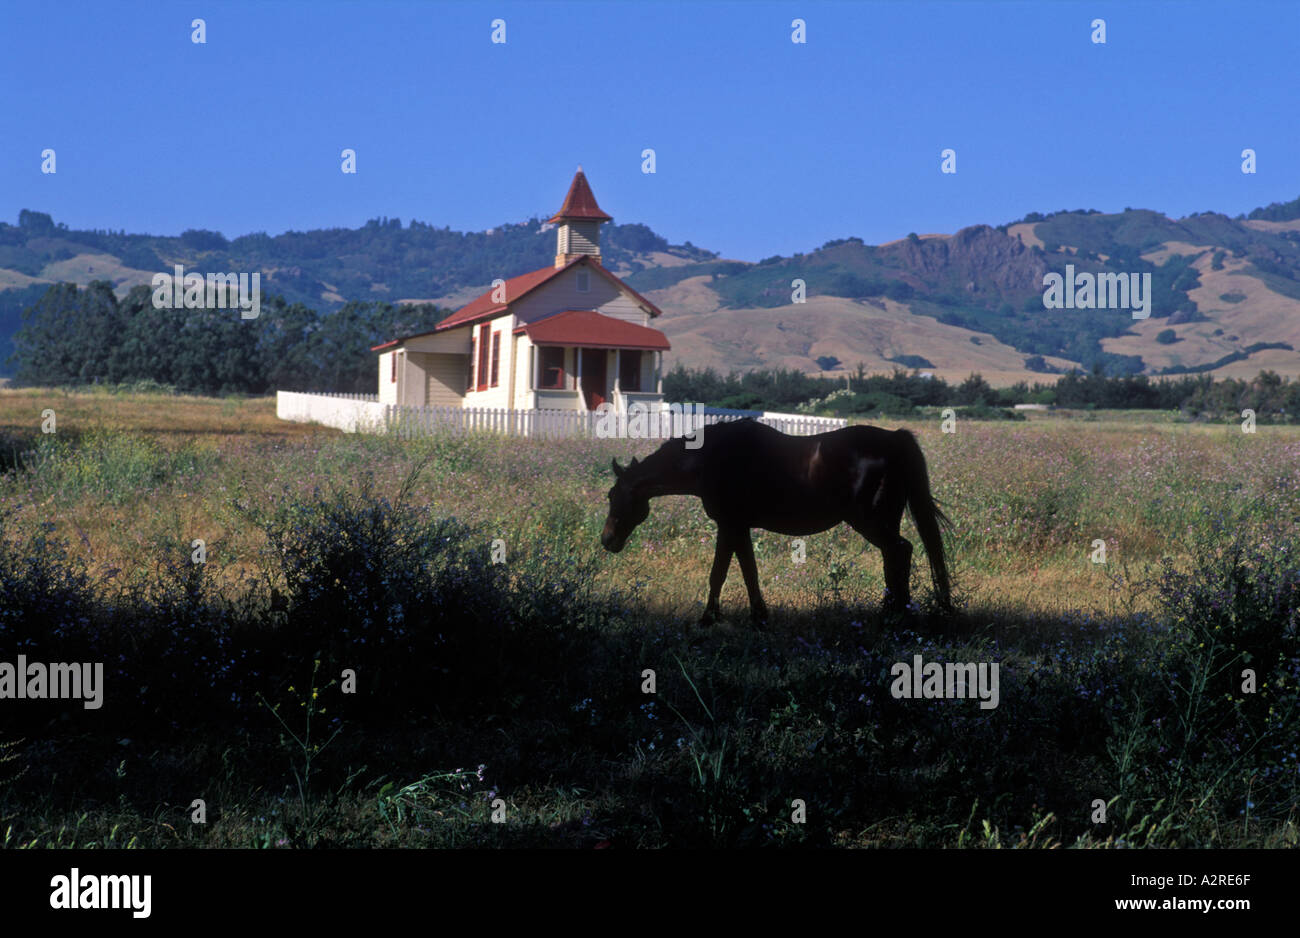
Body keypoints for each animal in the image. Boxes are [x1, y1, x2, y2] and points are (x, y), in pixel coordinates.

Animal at [600, 417, 951, 626]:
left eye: (615, 495)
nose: (607, 540)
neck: (709, 458)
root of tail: (894, 440)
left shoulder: (729, 525)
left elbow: (720, 574)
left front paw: (709, 618)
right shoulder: (738, 527)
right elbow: (747, 572)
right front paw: (757, 616)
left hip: (870, 521)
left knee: (899, 551)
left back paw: (896, 613)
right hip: (885, 520)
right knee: (894, 557)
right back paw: (892, 610)